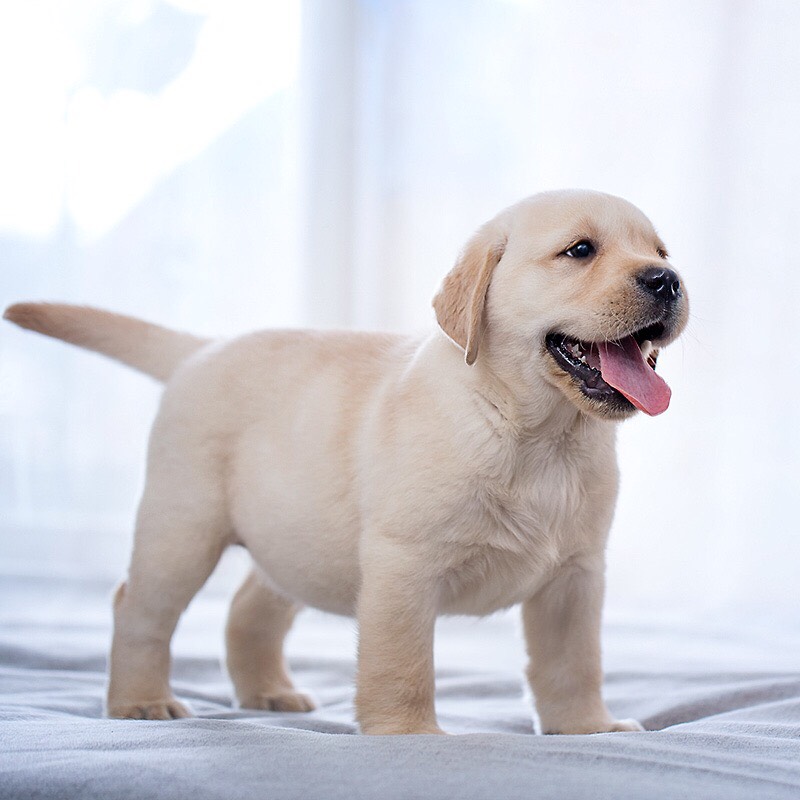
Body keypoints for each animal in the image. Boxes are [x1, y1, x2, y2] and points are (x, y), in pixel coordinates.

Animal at [3, 191, 688, 736]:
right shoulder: (403, 564)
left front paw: (587, 727)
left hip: (294, 536)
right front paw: (409, 735)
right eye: (580, 250)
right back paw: (141, 701)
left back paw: (267, 692)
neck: (540, 435)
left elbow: (575, 662)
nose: (666, 280)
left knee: (249, 609)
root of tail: (201, 349)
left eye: (661, 250)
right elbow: (403, 663)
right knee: (138, 608)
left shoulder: (576, 576)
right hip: (183, 527)